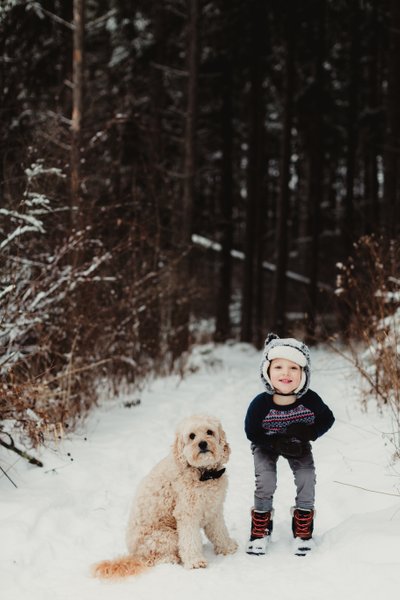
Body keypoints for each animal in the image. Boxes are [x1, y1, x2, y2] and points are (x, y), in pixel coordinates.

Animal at [94, 414, 238, 580]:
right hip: (167, 536)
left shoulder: (214, 509)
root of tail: (135, 555)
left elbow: (219, 531)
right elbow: (190, 540)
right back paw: (173, 558)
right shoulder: (187, 513)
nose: (202, 444)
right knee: (159, 558)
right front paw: (195, 562)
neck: (204, 474)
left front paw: (227, 547)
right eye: (192, 436)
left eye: (209, 432)